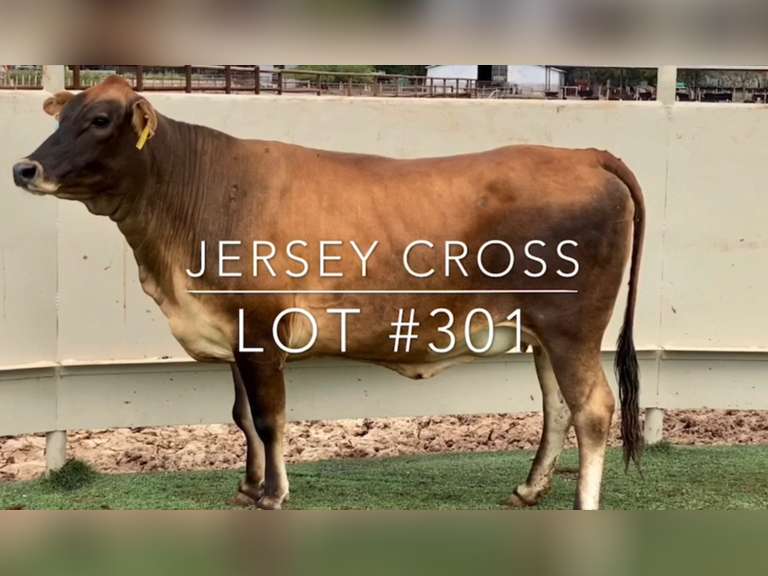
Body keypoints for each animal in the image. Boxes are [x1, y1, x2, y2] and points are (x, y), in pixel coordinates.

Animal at [13, 76, 644, 510]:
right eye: (64, 115)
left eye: (99, 119)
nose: (25, 168)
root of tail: (584, 155)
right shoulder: (235, 334)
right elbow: (242, 416)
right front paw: (247, 486)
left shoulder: (262, 331)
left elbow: (269, 418)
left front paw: (272, 494)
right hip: (541, 332)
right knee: (557, 407)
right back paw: (529, 489)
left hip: (573, 328)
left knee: (592, 408)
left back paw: (583, 504)